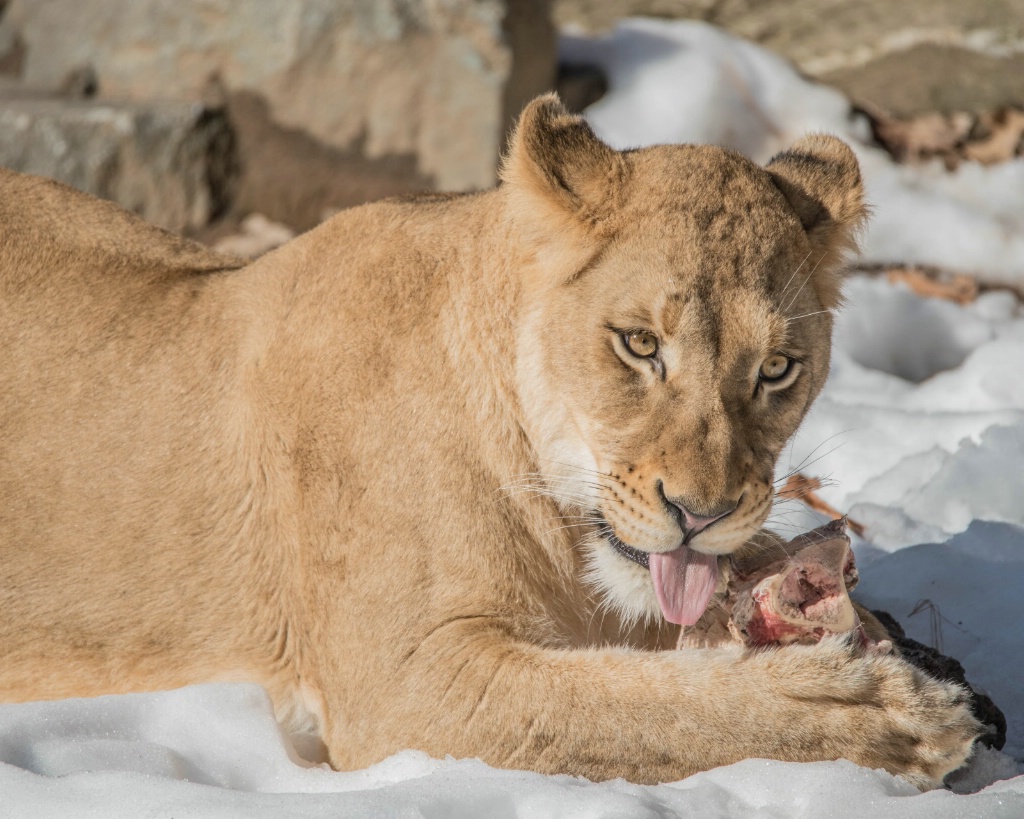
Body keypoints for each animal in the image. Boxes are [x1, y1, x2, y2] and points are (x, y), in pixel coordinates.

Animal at [0, 94, 978, 786]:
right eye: (639, 344)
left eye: (776, 368)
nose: (700, 513)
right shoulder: (404, 684)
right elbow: (631, 711)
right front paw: (882, 714)